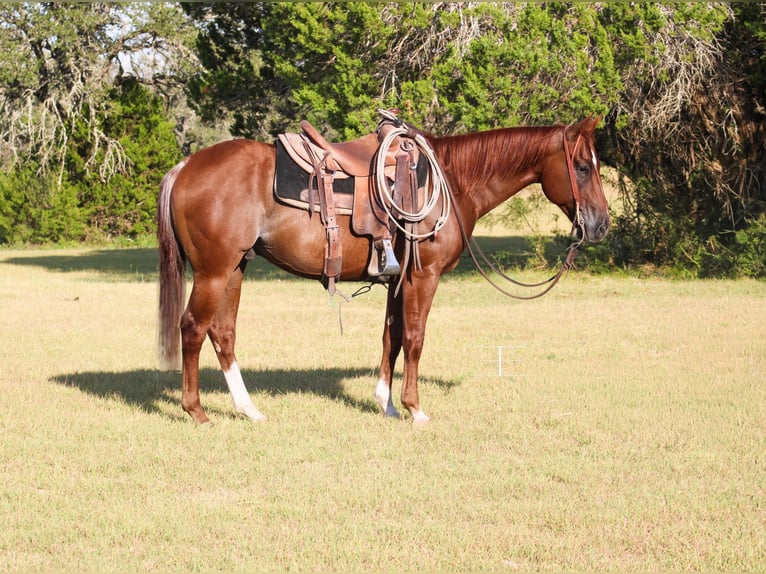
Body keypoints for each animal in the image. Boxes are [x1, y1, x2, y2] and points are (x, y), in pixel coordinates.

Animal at [157, 117, 610, 424]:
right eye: (582, 167)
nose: (601, 225)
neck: (452, 182)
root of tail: (185, 166)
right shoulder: (423, 276)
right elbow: (414, 338)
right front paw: (414, 408)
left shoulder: (397, 279)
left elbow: (391, 337)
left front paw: (386, 403)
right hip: (214, 272)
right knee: (193, 328)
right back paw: (196, 411)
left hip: (235, 268)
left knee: (223, 332)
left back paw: (247, 408)